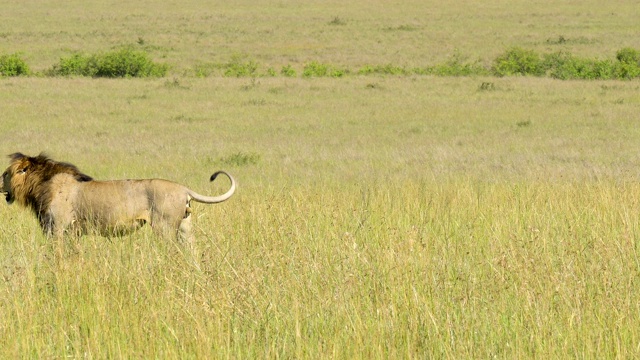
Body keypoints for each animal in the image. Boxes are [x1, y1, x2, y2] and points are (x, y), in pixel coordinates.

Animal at [0, 151, 235, 239]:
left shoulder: (57, 228)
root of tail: (183, 188)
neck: (41, 185)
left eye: (5, 174)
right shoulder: (72, 232)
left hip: (164, 226)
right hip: (185, 226)